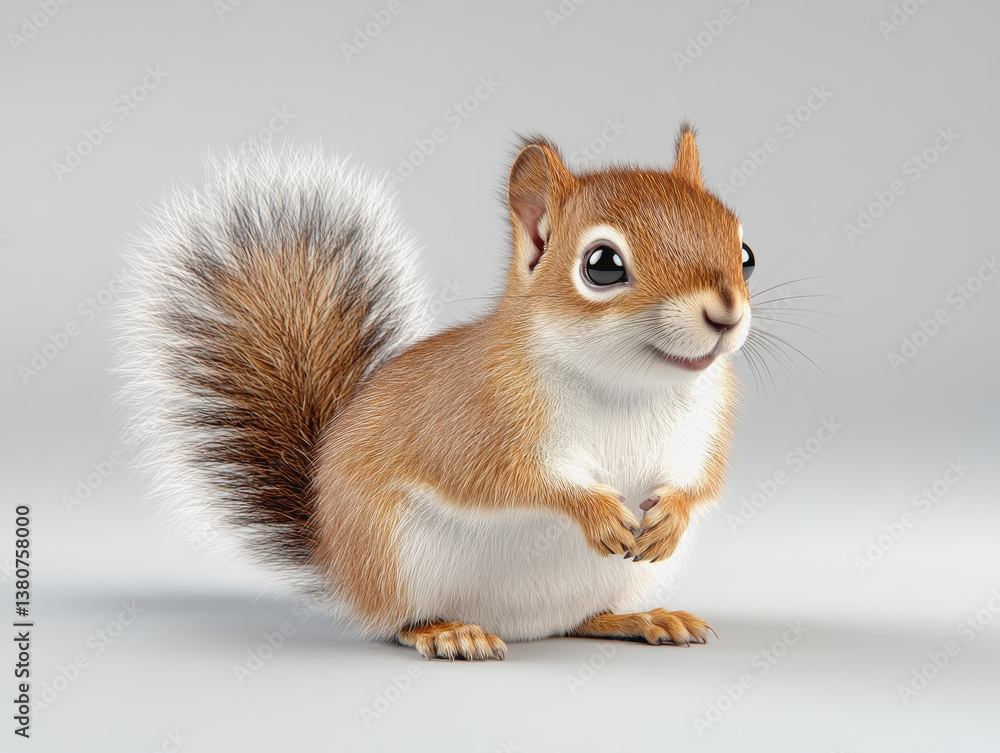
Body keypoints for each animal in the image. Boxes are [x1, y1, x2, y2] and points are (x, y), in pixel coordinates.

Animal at [117, 124, 756, 661]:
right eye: (602, 265)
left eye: (745, 254)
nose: (725, 314)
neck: (628, 383)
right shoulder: (472, 421)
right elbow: (507, 481)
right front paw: (593, 509)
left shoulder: (706, 427)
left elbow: (702, 482)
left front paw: (673, 515)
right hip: (397, 560)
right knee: (400, 621)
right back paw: (449, 631)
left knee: (581, 618)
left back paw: (639, 618)